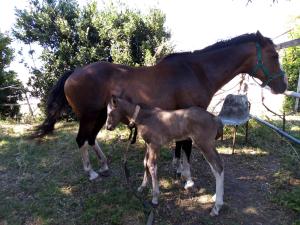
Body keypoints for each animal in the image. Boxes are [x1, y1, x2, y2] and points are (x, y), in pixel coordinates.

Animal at [36, 31, 288, 181]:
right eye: (274, 55)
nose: (283, 85)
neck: (197, 70)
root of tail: (75, 72)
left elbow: (179, 144)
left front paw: (177, 168)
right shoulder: (191, 113)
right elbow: (186, 146)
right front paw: (186, 175)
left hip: (100, 116)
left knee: (89, 139)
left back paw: (105, 166)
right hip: (89, 116)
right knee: (81, 140)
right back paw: (92, 173)